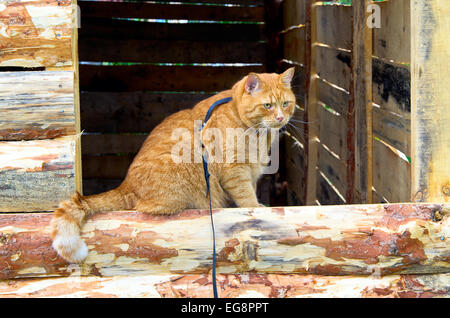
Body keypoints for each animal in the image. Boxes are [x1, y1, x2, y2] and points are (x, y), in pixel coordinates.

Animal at [51, 68, 296, 262]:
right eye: (267, 105)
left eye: (285, 104)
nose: (280, 118)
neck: (257, 132)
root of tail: (125, 186)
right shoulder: (234, 169)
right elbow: (246, 198)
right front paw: (256, 210)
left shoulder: (251, 170)